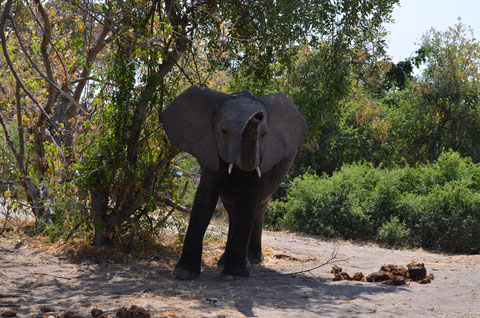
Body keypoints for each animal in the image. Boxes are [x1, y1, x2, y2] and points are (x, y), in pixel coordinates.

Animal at [160, 85, 304, 280]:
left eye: (264, 135)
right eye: (224, 131)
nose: (257, 115)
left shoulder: (265, 156)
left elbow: (248, 201)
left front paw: (234, 276)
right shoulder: (210, 147)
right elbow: (205, 199)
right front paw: (183, 274)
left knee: (258, 207)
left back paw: (253, 260)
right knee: (232, 209)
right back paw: (223, 262)